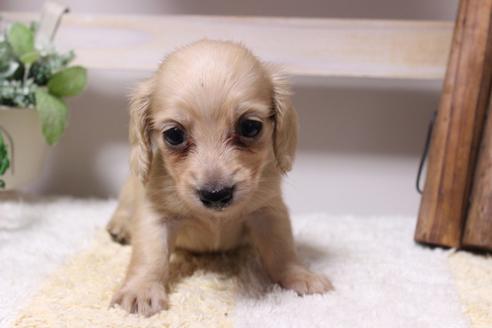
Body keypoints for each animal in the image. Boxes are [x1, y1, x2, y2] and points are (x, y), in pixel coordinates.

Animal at [106, 39, 332, 316]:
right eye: (174, 135)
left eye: (250, 127)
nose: (216, 194)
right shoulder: (156, 215)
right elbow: (150, 255)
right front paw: (141, 289)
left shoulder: (269, 212)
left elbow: (282, 251)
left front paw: (300, 275)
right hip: (131, 188)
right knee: (124, 208)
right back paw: (121, 226)